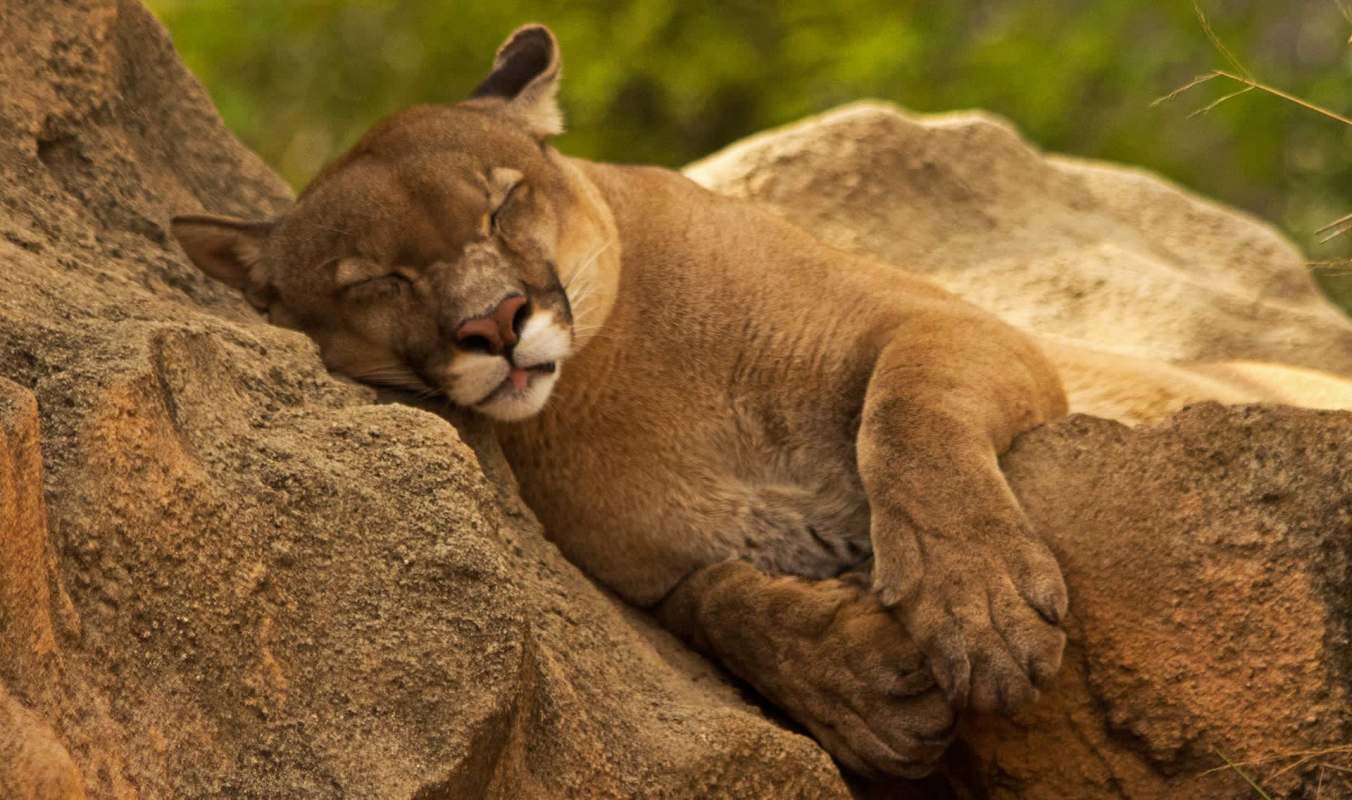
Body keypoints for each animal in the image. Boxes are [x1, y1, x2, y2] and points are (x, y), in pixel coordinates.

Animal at [172, 25, 1073, 777]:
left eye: (501, 207)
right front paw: (856, 685)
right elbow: (716, 599)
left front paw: (979, 605)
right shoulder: (654, 576)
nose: (494, 322)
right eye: (377, 281)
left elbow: (904, 417)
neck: (625, 373)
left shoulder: (949, 321)